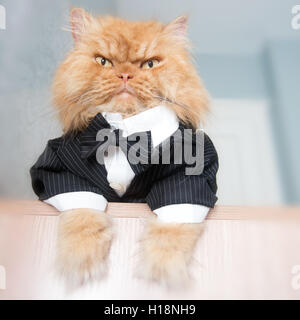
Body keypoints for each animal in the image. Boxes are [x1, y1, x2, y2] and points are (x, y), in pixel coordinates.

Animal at [45, 8, 216, 288]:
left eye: (150, 64)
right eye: (103, 61)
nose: (125, 75)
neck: (123, 130)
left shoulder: (189, 175)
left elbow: (172, 227)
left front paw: (162, 267)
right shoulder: (59, 168)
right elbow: (83, 214)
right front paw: (82, 259)